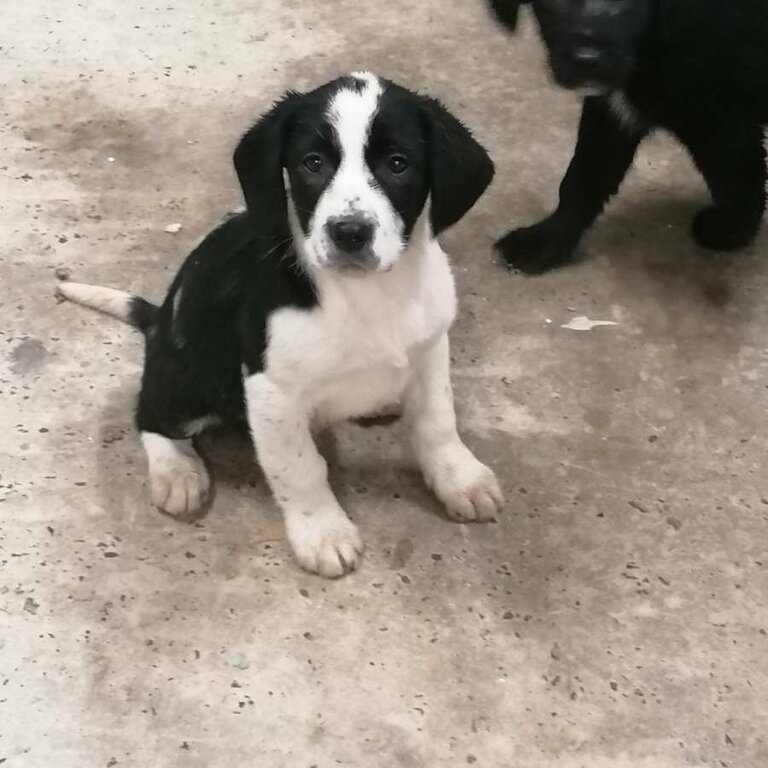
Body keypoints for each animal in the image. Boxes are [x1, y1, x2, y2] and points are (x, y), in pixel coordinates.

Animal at [61, 73, 504, 576]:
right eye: (312, 163)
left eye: (398, 164)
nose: (349, 232)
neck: (368, 293)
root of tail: (157, 322)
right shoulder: (271, 389)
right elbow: (300, 467)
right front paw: (323, 531)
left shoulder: (430, 350)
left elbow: (438, 421)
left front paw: (460, 479)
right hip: (190, 380)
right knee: (150, 414)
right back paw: (177, 470)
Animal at [492, 0, 768, 274]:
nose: (588, 59)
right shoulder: (613, 111)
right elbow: (582, 178)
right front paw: (546, 241)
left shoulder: (722, 124)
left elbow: (738, 182)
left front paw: (731, 231)